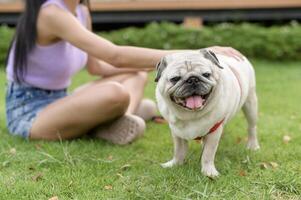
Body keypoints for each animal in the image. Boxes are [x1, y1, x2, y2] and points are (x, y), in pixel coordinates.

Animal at [155, 49, 258, 177]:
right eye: (175, 79)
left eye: (206, 75)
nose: (192, 79)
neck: (191, 115)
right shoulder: (177, 132)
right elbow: (178, 151)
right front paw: (175, 164)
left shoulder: (214, 132)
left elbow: (208, 154)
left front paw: (209, 172)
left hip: (250, 104)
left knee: (251, 127)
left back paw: (253, 146)